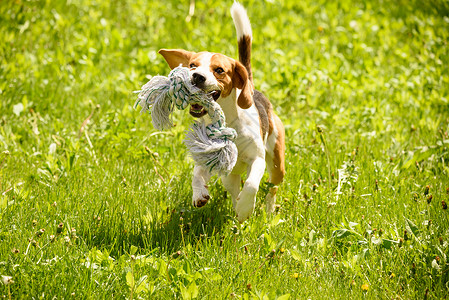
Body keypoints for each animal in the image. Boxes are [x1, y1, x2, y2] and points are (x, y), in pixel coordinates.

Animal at [158, 1, 284, 223]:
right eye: (192, 65)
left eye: (219, 70)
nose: (197, 77)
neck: (226, 123)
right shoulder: (211, 160)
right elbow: (197, 174)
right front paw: (199, 193)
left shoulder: (257, 159)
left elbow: (252, 184)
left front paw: (246, 207)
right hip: (229, 176)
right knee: (233, 189)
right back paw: (236, 211)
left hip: (277, 162)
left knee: (272, 187)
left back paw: (266, 211)